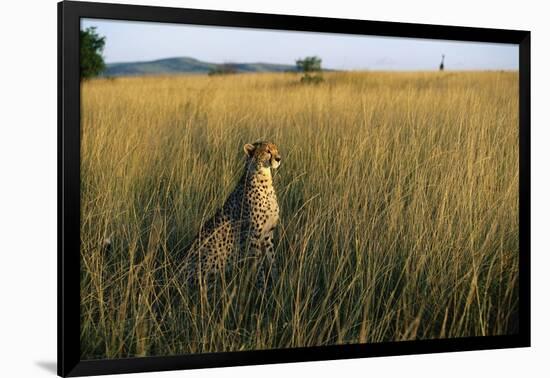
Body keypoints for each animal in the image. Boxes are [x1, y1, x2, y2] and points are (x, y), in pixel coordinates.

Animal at [181, 142, 282, 286]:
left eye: (276, 149)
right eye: (267, 151)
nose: (278, 159)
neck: (265, 180)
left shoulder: (268, 233)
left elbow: (272, 261)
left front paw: (277, 281)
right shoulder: (252, 236)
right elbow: (258, 267)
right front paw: (262, 287)